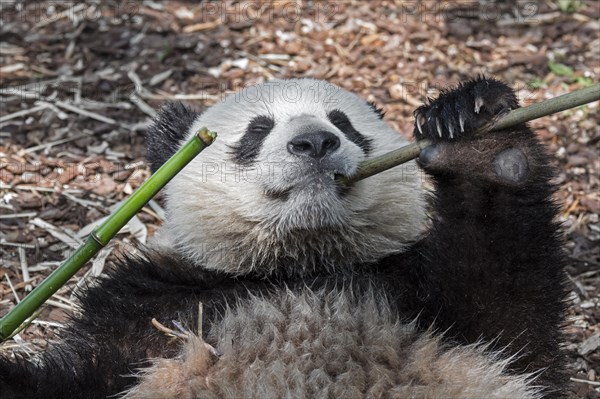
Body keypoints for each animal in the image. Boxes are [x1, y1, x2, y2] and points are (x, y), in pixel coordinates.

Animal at [0, 76, 564, 398]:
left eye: (344, 123)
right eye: (256, 130)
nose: (314, 141)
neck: (295, 266)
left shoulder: (425, 305)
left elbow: (509, 316)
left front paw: (479, 136)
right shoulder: (145, 313)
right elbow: (74, 378)